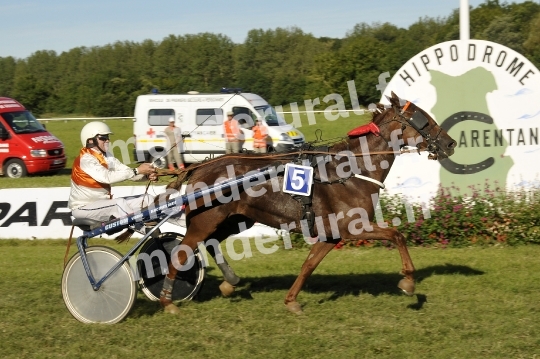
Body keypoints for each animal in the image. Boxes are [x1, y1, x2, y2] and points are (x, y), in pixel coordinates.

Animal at [159, 93, 456, 316]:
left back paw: (229, 283)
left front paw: (292, 301)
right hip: (206, 220)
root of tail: (200, 166)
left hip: (236, 219)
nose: (450, 143)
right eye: (423, 120)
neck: (350, 172)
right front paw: (408, 281)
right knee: (182, 252)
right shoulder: (354, 227)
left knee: (211, 243)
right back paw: (168, 300)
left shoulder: (330, 234)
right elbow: (397, 234)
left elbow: (308, 265)